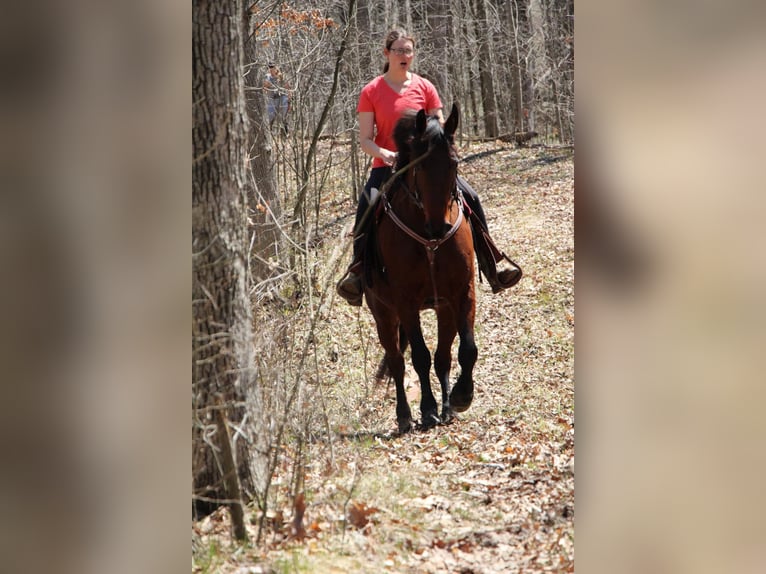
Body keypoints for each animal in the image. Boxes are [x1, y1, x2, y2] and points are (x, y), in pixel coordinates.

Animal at [364, 104, 476, 436]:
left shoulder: (462, 293)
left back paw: (447, 406)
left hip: (443, 309)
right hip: (383, 314)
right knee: (397, 360)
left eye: (454, 163)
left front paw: (461, 397)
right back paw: (404, 415)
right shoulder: (406, 303)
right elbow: (420, 357)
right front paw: (427, 410)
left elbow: (465, 349)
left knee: (443, 356)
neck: (430, 243)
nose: (438, 227)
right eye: (421, 166)